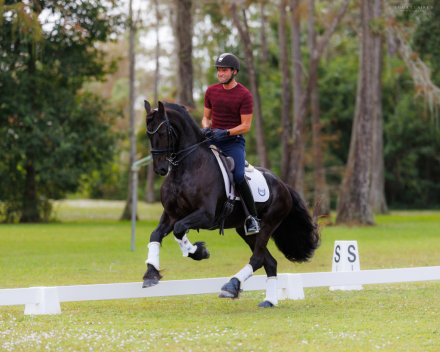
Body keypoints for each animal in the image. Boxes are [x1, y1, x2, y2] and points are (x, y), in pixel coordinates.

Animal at [143, 100, 322, 306]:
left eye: (163, 134)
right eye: (148, 134)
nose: (160, 169)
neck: (186, 169)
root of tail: (283, 185)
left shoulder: (205, 215)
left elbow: (180, 229)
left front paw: (199, 251)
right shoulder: (171, 214)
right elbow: (156, 235)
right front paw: (151, 274)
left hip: (269, 223)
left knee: (257, 258)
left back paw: (231, 285)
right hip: (245, 231)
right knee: (269, 262)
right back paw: (268, 301)